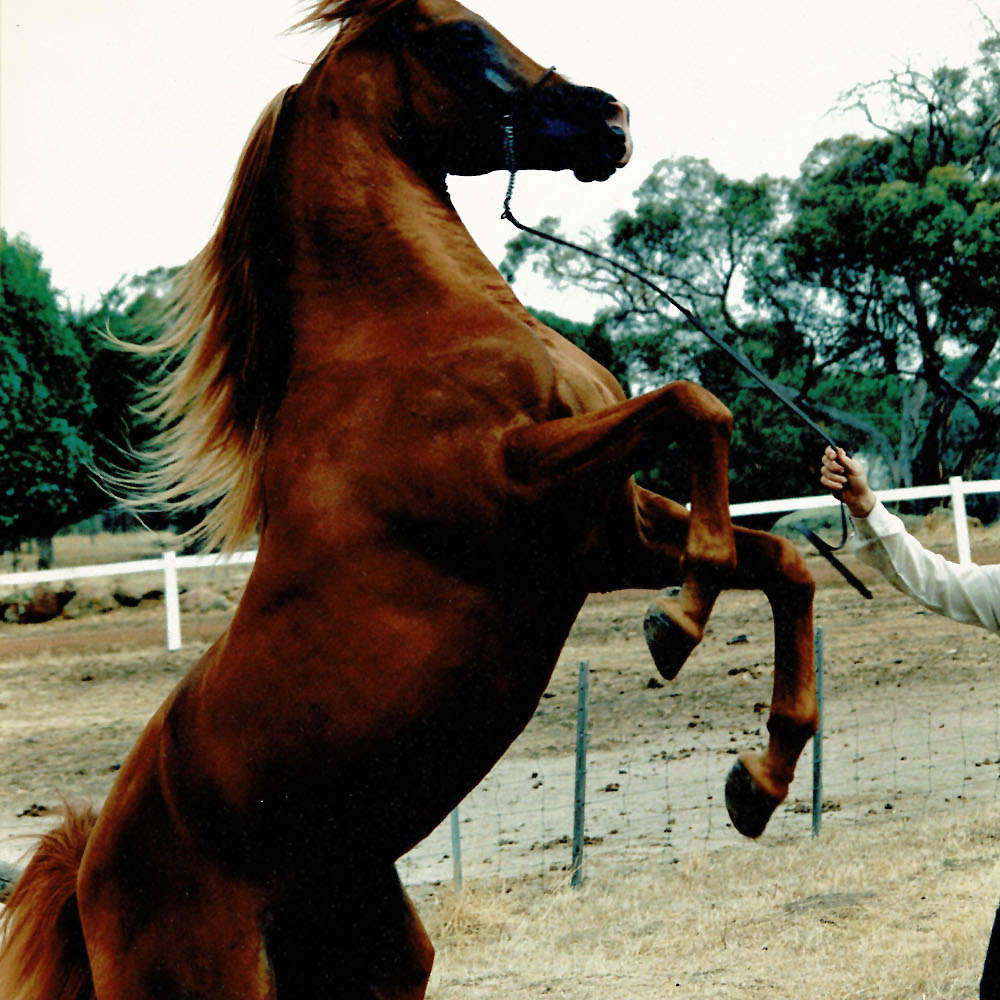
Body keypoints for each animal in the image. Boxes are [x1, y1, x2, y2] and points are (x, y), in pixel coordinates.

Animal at [0, 1, 818, 996]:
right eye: (460, 35)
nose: (612, 119)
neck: (404, 337)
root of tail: (87, 873)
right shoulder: (524, 485)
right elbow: (699, 409)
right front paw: (680, 624)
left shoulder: (601, 534)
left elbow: (783, 560)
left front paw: (759, 779)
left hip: (381, 957)